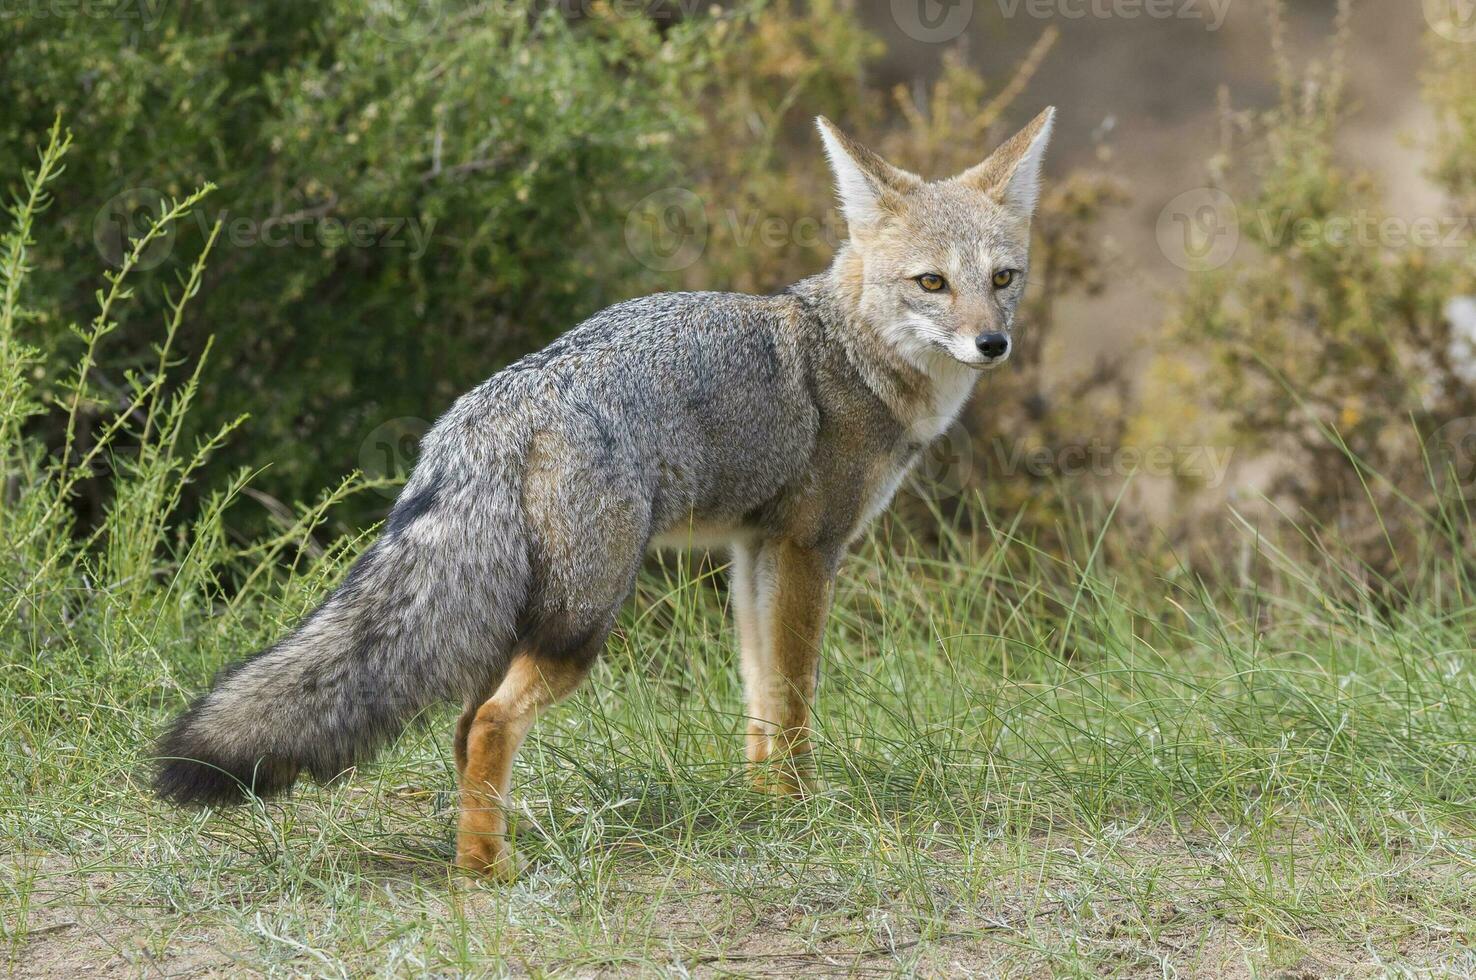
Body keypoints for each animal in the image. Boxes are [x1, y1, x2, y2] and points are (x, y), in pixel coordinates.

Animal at [155, 107, 1056, 873]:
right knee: (490, 722)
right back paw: (486, 871)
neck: (850, 353)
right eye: (932, 283)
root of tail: (498, 404)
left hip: (524, 615)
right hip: (584, 621)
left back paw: (486, 842)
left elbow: (760, 694)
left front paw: (763, 802)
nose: (993, 343)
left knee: (462, 728)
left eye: (1003, 278)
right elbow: (795, 696)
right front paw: (803, 807)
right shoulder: (811, 547)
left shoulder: (755, 550)